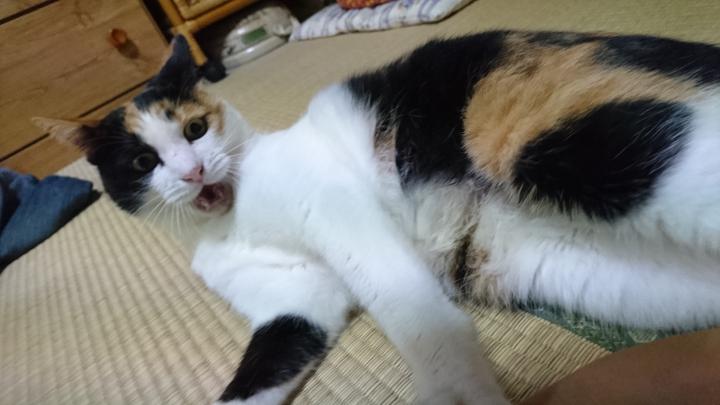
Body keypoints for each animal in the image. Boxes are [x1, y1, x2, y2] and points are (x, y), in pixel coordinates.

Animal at [34, 31, 720, 404]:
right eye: (144, 160)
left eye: (196, 129)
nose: (192, 171)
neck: (227, 225)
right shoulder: (297, 304)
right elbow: (253, 378)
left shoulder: (336, 211)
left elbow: (413, 315)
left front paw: (458, 395)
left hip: (588, 149)